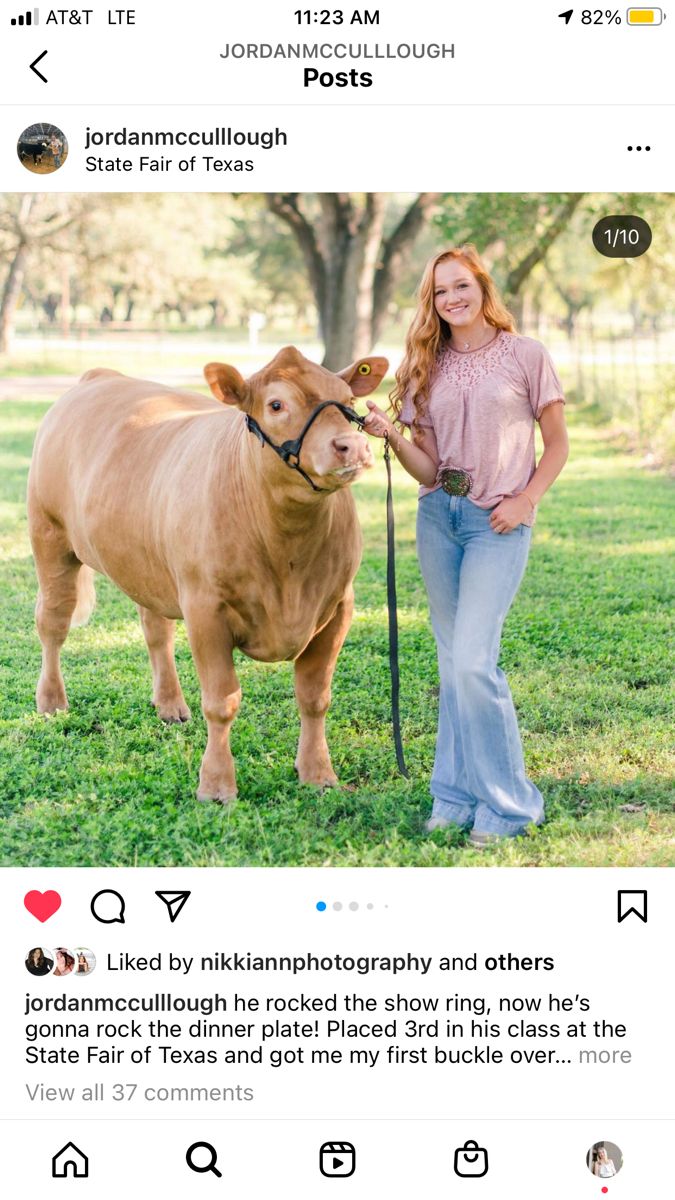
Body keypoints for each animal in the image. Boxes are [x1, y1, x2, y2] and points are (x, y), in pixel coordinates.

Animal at [28, 343, 386, 801]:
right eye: (276, 404)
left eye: (348, 399)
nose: (351, 445)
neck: (287, 554)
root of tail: (100, 375)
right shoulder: (205, 610)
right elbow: (221, 702)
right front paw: (216, 785)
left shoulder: (339, 606)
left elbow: (314, 697)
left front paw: (318, 773)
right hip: (50, 538)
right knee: (53, 622)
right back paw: (52, 702)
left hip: (148, 564)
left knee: (155, 630)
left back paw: (169, 705)